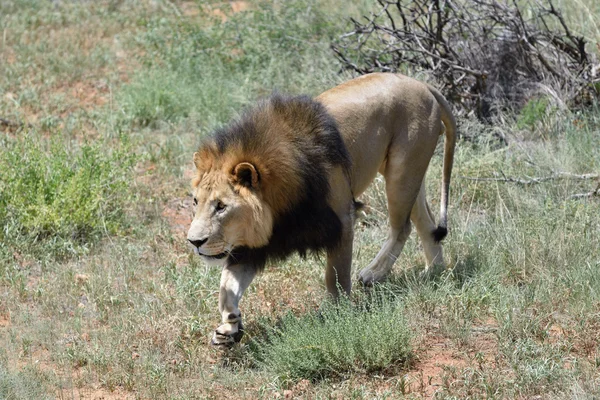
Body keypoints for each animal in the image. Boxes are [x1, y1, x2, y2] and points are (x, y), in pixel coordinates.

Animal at [188, 72, 454, 346]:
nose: (194, 241)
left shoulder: (342, 220)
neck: (278, 206)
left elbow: (336, 274)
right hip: (410, 174)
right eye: (196, 201)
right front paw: (229, 326)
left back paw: (374, 273)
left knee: (402, 227)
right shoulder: (255, 243)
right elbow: (227, 286)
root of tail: (422, 84)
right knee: (426, 225)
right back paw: (433, 273)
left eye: (221, 207)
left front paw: (337, 313)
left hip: (402, 173)